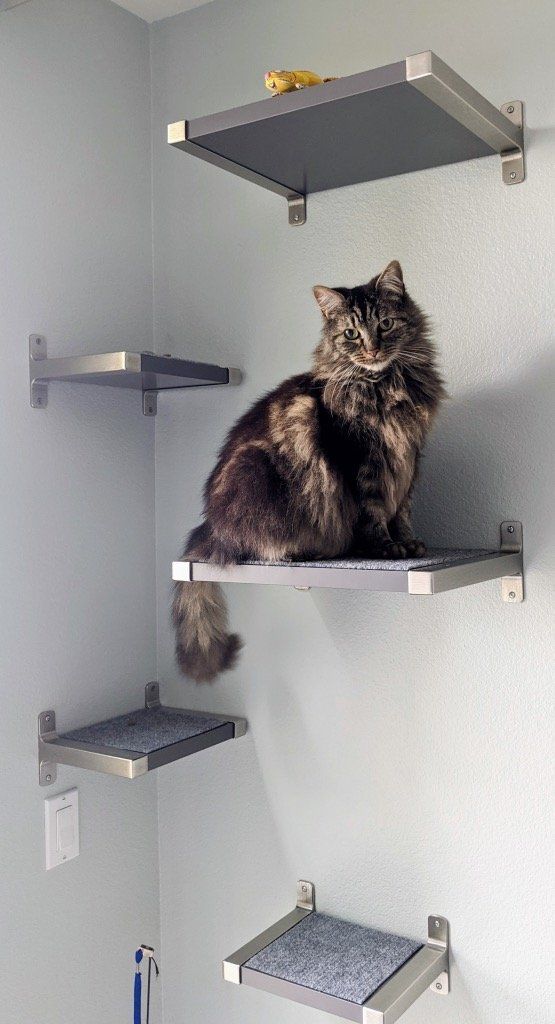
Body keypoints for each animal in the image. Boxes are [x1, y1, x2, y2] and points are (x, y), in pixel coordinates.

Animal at [174, 262, 448, 679]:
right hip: (256, 476)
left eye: (385, 324)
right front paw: (384, 548)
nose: (372, 349)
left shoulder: (410, 458)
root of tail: (210, 523)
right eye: (351, 333)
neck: (387, 386)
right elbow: (374, 513)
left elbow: (401, 510)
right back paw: (298, 551)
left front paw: (409, 542)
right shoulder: (363, 459)